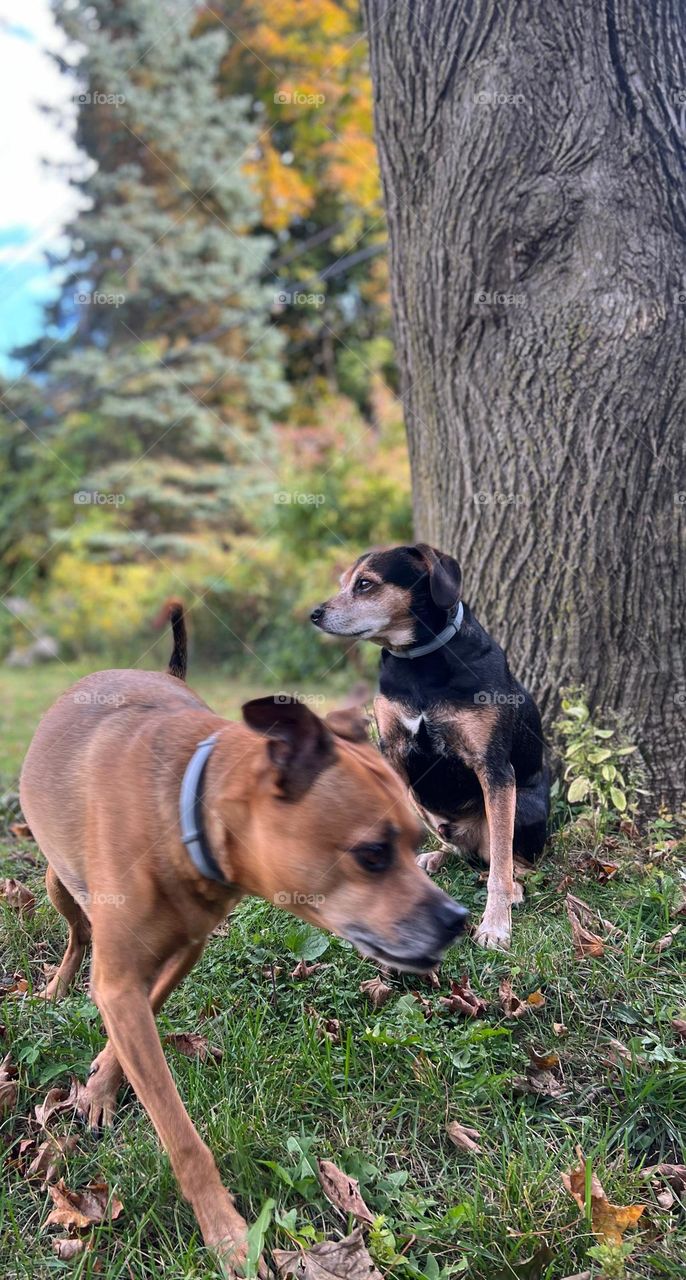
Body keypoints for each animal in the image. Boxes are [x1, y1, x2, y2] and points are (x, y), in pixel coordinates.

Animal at [20, 606, 465, 1269]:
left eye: (416, 842)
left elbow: (143, 1015)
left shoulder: (181, 953)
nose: (457, 918)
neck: (185, 805)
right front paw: (227, 1233)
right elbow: (180, 1134)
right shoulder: (119, 977)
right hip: (57, 881)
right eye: (373, 854)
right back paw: (55, 987)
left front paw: (102, 1078)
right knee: (76, 936)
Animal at [312, 542, 552, 952]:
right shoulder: (392, 753)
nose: (315, 614)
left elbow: (500, 864)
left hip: (524, 806)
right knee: (455, 847)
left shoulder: (494, 767)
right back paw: (437, 857)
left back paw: (514, 884)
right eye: (344, 582)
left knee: (506, 858)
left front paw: (495, 924)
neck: (419, 663)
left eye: (365, 584)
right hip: (426, 804)